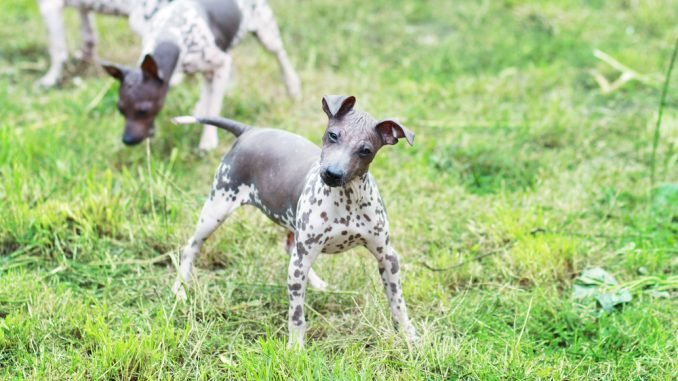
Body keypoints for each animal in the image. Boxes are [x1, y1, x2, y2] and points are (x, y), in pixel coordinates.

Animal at [36, 0, 173, 87]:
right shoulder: (84, 8)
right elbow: (88, 36)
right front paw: (85, 61)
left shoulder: (50, 7)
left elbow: (57, 51)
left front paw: (51, 79)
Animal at [103, 0, 300, 149]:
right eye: (120, 109)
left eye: (143, 110)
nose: (127, 140)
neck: (171, 33)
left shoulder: (222, 65)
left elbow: (215, 106)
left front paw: (208, 141)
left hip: (266, 33)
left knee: (280, 54)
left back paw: (292, 86)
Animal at [171, 95, 420, 348]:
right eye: (333, 135)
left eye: (365, 150)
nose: (332, 174)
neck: (348, 199)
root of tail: (250, 131)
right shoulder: (302, 260)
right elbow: (297, 314)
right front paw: (296, 348)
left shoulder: (387, 256)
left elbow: (398, 302)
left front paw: (408, 334)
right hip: (217, 208)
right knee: (190, 247)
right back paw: (180, 288)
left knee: (291, 250)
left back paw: (318, 284)